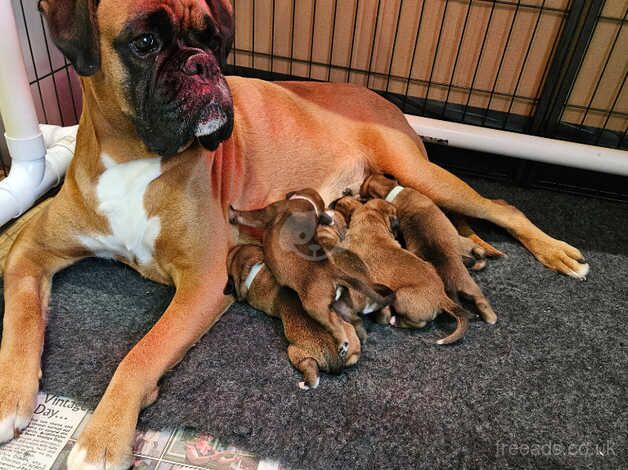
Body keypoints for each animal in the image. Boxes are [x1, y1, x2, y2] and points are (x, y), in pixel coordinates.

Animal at [227, 244, 364, 392]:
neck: (254, 268)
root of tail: (335, 357)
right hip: (350, 336)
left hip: (296, 353)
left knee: (311, 370)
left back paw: (305, 384)